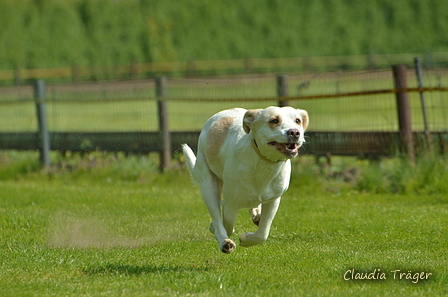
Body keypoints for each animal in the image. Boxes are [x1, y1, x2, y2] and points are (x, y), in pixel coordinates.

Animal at [182, 106, 308, 252]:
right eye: (274, 120)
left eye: (298, 120)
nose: (294, 132)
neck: (264, 161)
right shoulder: (230, 205)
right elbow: (226, 226)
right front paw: (219, 232)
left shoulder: (273, 200)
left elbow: (263, 233)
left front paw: (246, 238)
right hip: (208, 185)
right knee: (218, 214)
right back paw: (224, 241)